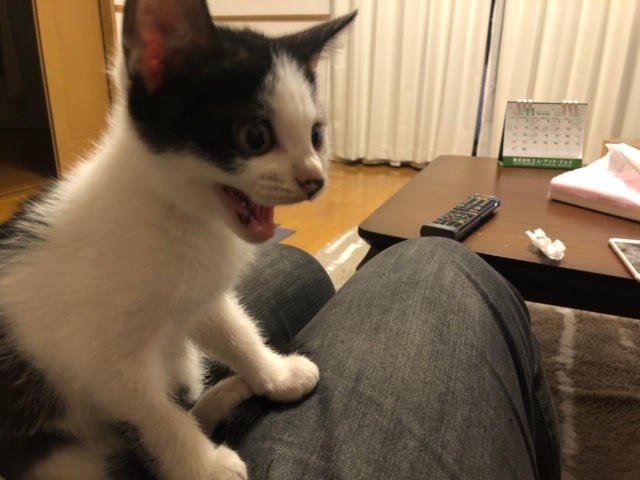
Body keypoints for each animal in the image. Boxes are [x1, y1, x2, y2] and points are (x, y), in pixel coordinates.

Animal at [0, 0, 355, 478]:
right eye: (255, 136)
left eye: (316, 134)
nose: (315, 180)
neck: (181, 219)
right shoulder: (99, 360)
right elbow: (156, 415)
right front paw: (203, 467)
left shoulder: (198, 294)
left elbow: (234, 331)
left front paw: (274, 375)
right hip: (66, 457)